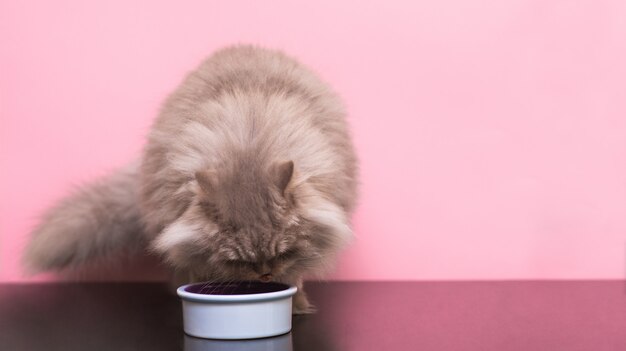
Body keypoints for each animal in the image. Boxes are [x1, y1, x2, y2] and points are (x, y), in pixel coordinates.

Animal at [22, 45, 358, 314]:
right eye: (239, 261)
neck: (250, 148)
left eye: (282, 253)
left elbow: (293, 277)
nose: (263, 275)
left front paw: (297, 306)